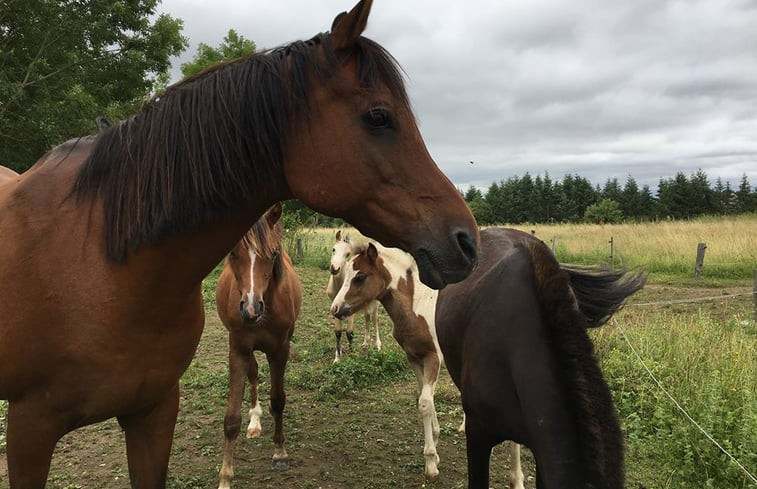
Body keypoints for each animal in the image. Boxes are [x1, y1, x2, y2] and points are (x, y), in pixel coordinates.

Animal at [213, 202, 302, 488]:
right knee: (253, 374)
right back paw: (254, 420)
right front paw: (225, 477)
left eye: (272, 254)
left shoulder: (280, 350)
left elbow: (278, 400)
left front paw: (280, 453)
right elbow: (231, 418)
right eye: (233, 253)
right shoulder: (239, 349)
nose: (251, 309)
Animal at [330, 230, 644, 488]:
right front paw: (435, 438)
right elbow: (423, 400)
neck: (415, 303)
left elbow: (425, 402)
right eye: (346, 273)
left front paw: (431, 462)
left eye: (359, 276)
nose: (335, 308)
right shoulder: (414, 358)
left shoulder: (433, 358)